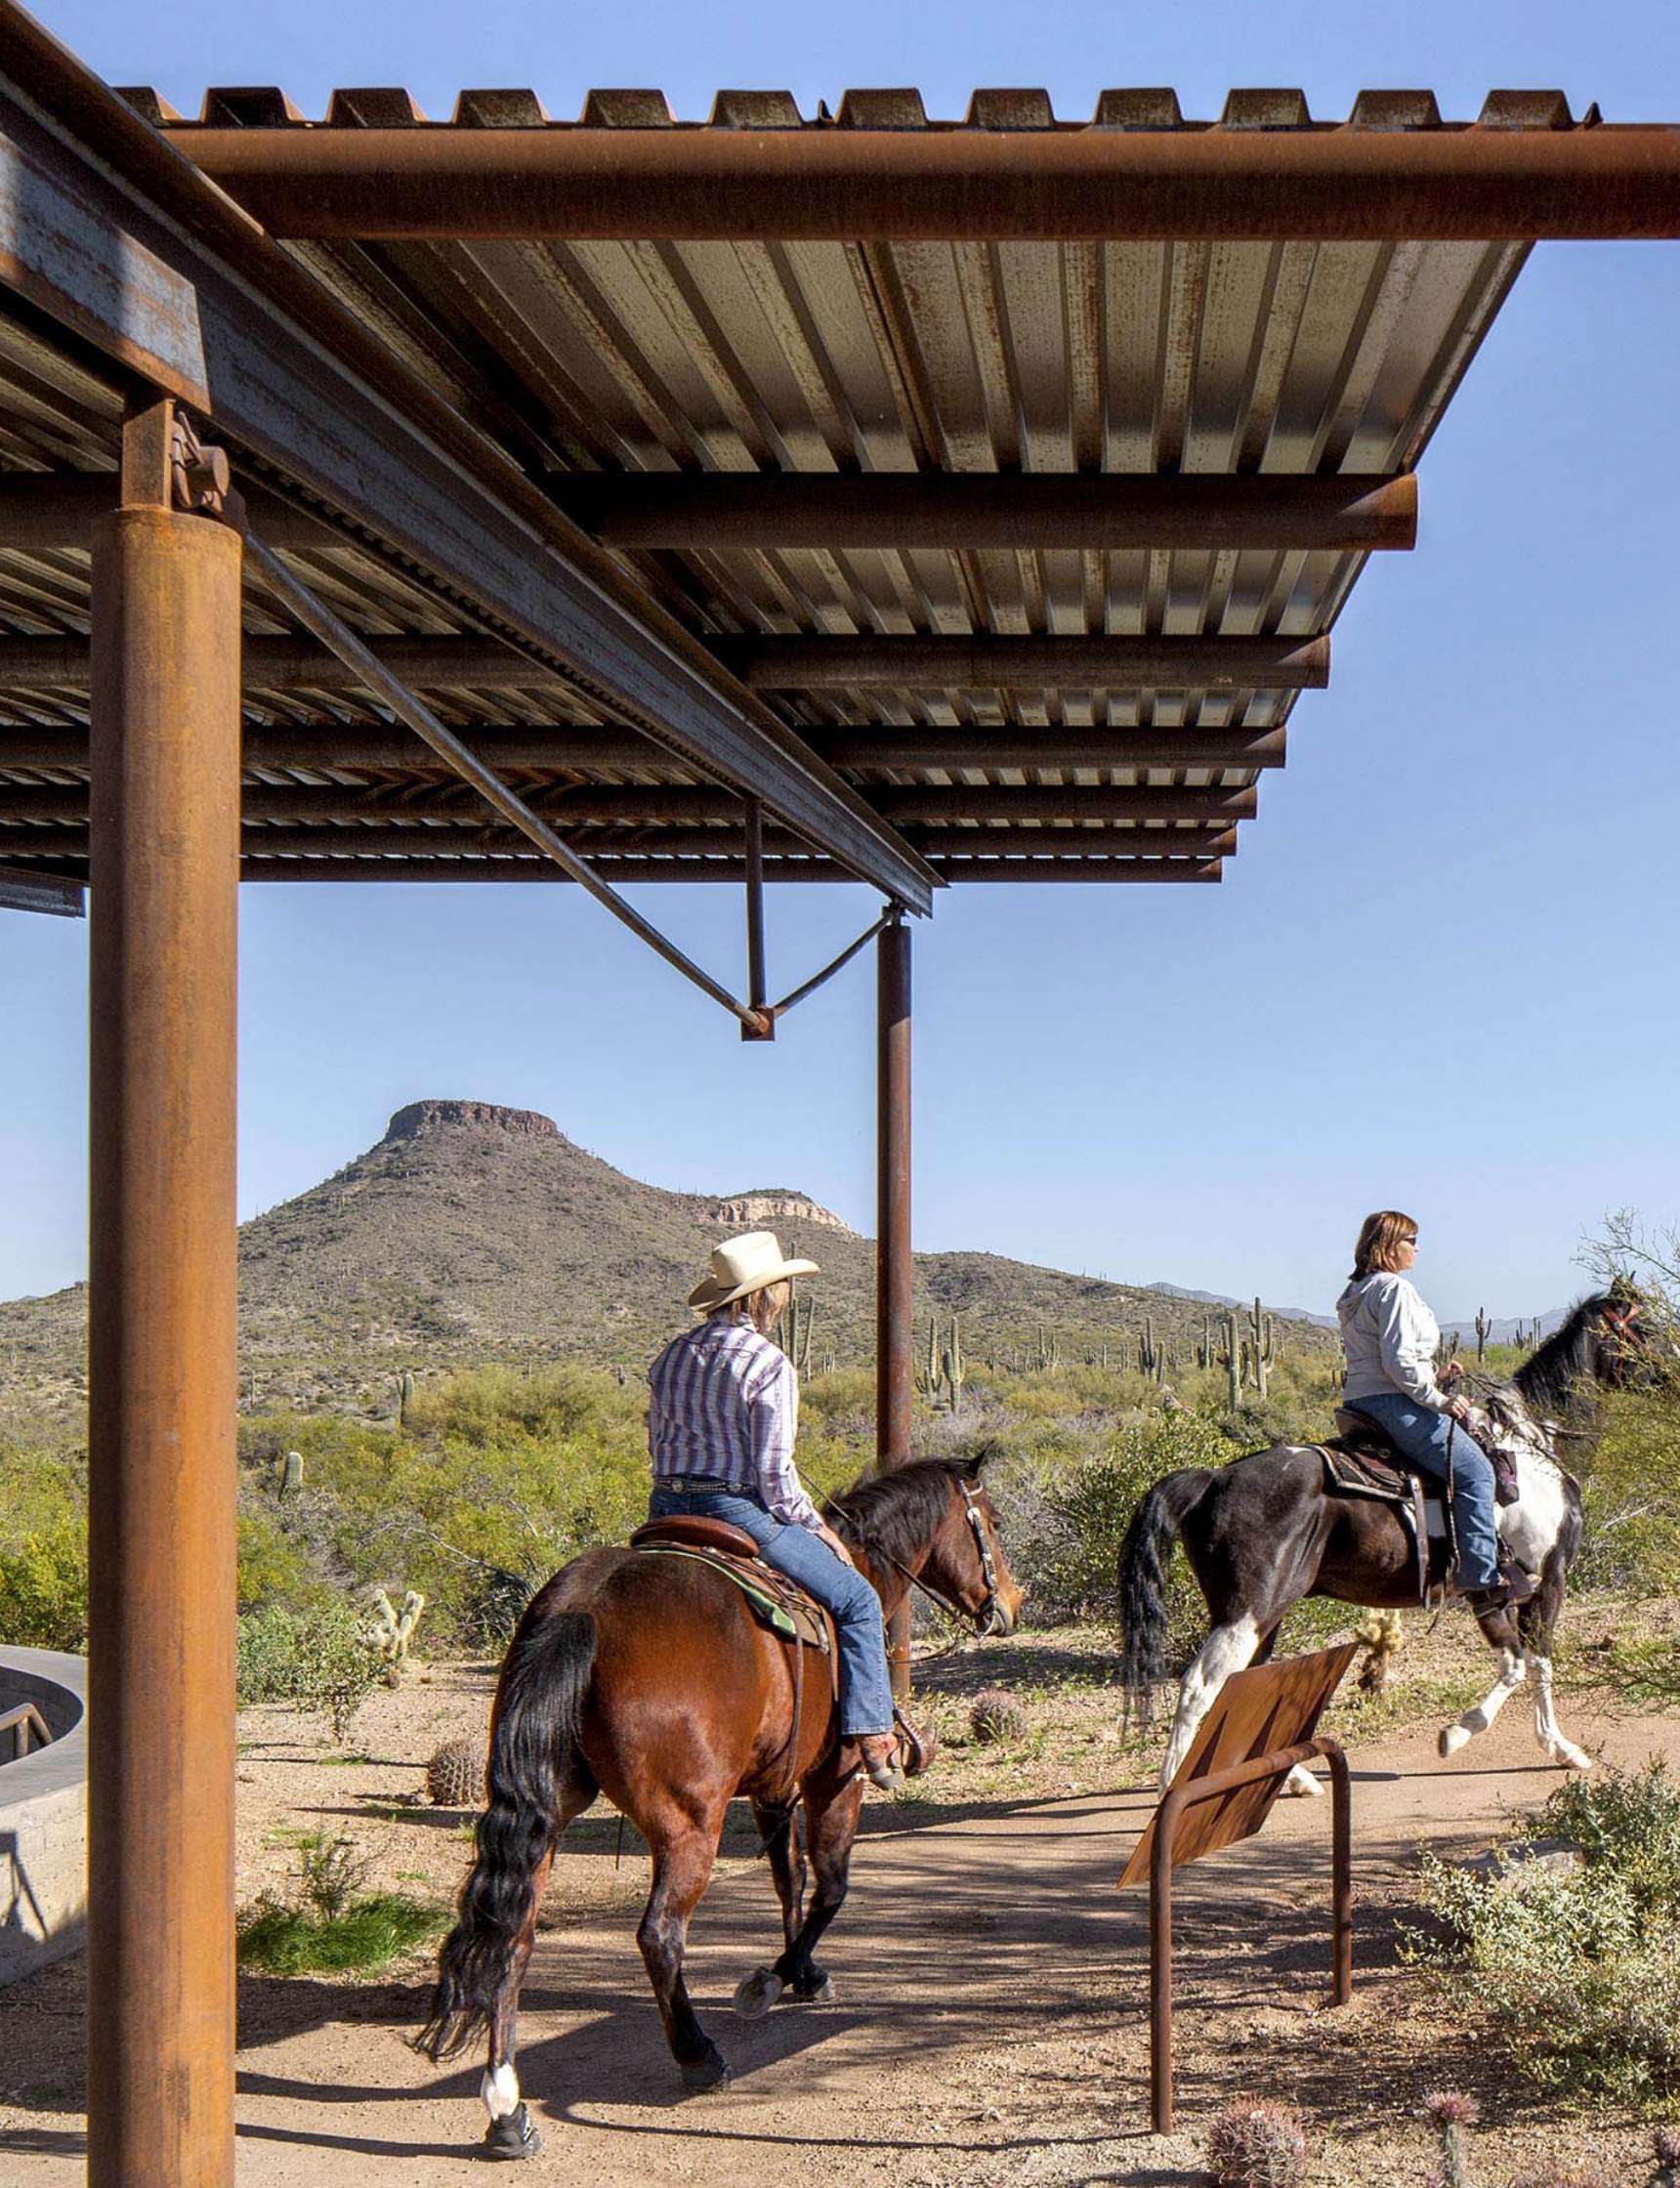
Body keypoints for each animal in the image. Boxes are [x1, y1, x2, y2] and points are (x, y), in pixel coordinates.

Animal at [420, 1452, 1024, 2153]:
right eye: (994, 1522)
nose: (1010, 1605)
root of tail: (584, 1607)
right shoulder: (835, 1779)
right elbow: (832, 1885)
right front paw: (772, 1979)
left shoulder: (773, 1788)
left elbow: (789, 1881)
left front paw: (802, 1973)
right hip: (689, 1825)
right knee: (660, 1934)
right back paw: (698, 2056)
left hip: (545, 1815)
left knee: (513, 1936)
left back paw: (505, 2106)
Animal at [1119, 1286, 1645, 1785]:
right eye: (1648, 1328)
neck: (1531, 1452)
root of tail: (1213, 1478)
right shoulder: (1532, 1584)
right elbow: (1527, 1664)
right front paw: (1488, 1738)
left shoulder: (1508, 1591)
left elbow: (1526, 1665)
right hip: (1246, 1613)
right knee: (1200, 1688)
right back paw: (1174, 1787)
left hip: (1259, 1617)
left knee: (1239, 1687)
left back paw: (1292, 1779)